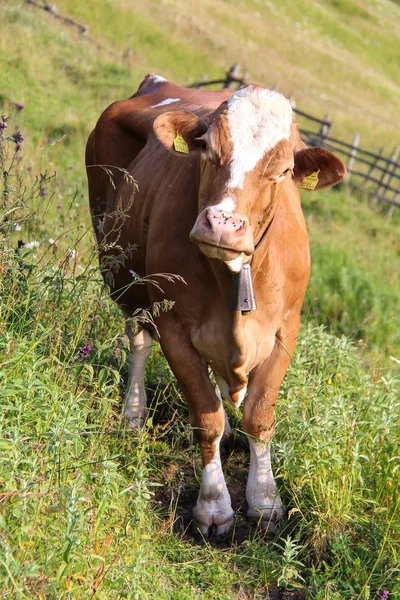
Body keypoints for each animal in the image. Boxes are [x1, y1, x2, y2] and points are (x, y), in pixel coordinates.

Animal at [85, 72, 346, 536]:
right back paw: (133, 413)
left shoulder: (286, 329)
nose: (222, 224)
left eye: (283, 170)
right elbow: (205, 417)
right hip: (121, 272)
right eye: (207, 147)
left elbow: (259, 416)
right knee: (138, 339)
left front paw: (265, 501)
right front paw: (214, 507)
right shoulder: (174, 326)